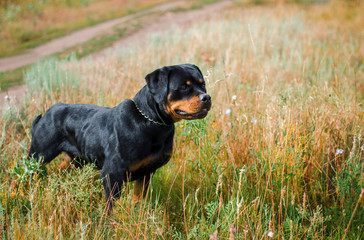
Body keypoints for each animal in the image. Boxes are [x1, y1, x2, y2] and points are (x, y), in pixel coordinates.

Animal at [29, 63, 213, 212]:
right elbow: (111, 207)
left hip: (75, 159)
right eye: (183, 87)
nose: (207, 97)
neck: (149, 121)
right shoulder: (112, 175)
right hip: (39, 155)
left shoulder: (147, 172)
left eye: (202, 85)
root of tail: (48, 112)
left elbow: (138, 198)